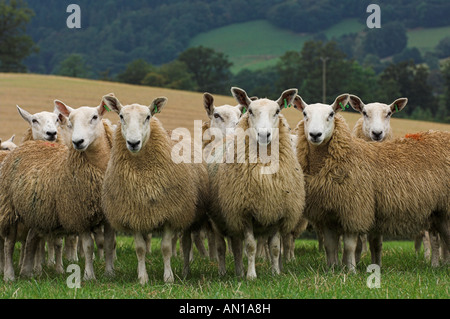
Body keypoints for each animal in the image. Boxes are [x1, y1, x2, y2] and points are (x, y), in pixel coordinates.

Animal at [0, 98, 116, 282]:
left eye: (95, 117)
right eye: (71, 121)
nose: (78, 142)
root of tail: (30, 144)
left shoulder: (108, 216)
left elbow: (109, 244)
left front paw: (110, 273)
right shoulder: (78, 214)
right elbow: (88, 246)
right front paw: (89, 276)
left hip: (36, 212)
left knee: (31, 240)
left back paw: (27, 271)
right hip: (10, 209)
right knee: (9, 244)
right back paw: (9, 275)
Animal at [101, 95, 208, 284]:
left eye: (148, 116)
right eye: (121, 116)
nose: (133, 143)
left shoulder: (169, 214)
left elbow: (165, 248)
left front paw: (168, 277)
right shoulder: (134, 215)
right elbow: (140, 249)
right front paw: (143, 278)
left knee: (186, 242)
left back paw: (185, 270)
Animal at [207, 87, 306, 280]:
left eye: (277, 111)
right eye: (251, 111)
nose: (263, 135)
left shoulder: (277, 212)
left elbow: (274, 248)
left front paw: (275, 273)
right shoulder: (244, 212)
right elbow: (251, 246)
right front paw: (251, 276)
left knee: (236, 246)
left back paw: (238, 271)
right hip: (220, 219)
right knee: (222, 247)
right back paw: (223, 271)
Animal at [294, 94, 450, 272]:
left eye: (331, 114)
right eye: (305, 114)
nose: (315, 135)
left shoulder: (355, 210)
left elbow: (350, 246)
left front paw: (351, 270)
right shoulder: (327, 213)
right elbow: (330, 246)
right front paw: (332, 269)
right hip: (439, 213)